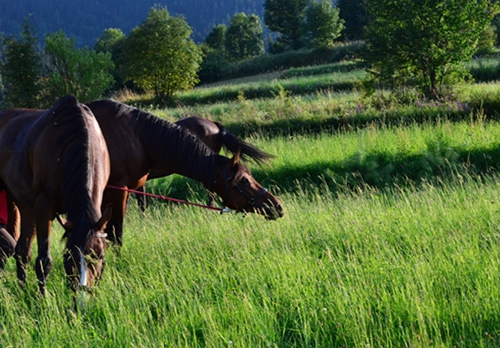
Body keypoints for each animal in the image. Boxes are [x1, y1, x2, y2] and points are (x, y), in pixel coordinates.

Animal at [0, 95, 111, 294]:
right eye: (69, 256)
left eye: (98, 256)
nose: (81, 298)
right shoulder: (44, 209)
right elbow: (44, 261)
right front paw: (42, 299)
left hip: (23, 206)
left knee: (21, 250)